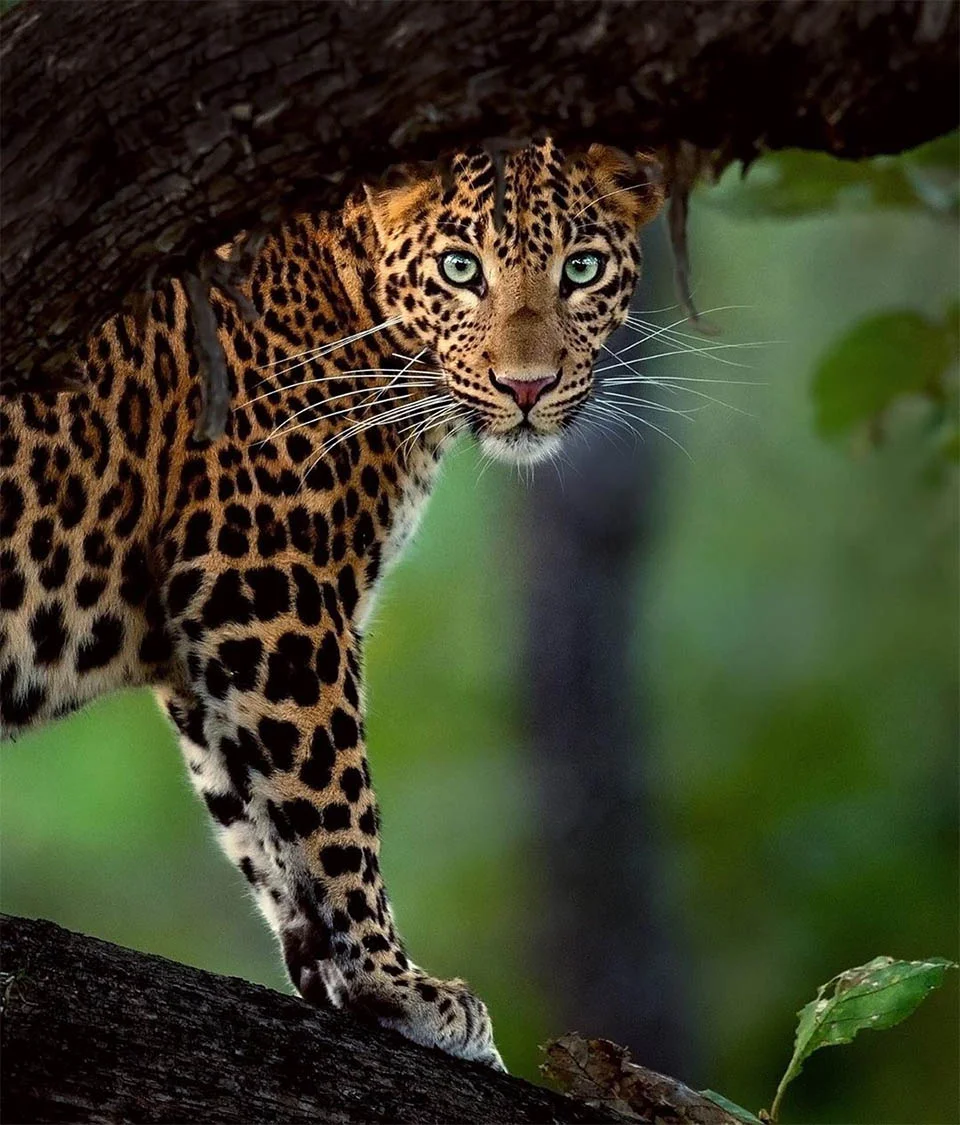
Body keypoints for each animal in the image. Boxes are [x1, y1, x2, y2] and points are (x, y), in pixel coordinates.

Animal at [0, 137, 663, 1070]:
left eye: (582, 268)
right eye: (461, 269)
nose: (527, 387)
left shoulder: (204, 635)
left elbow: (253, 813)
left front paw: (337, 974)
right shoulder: (264, 582)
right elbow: (330, 793)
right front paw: (399, 984)